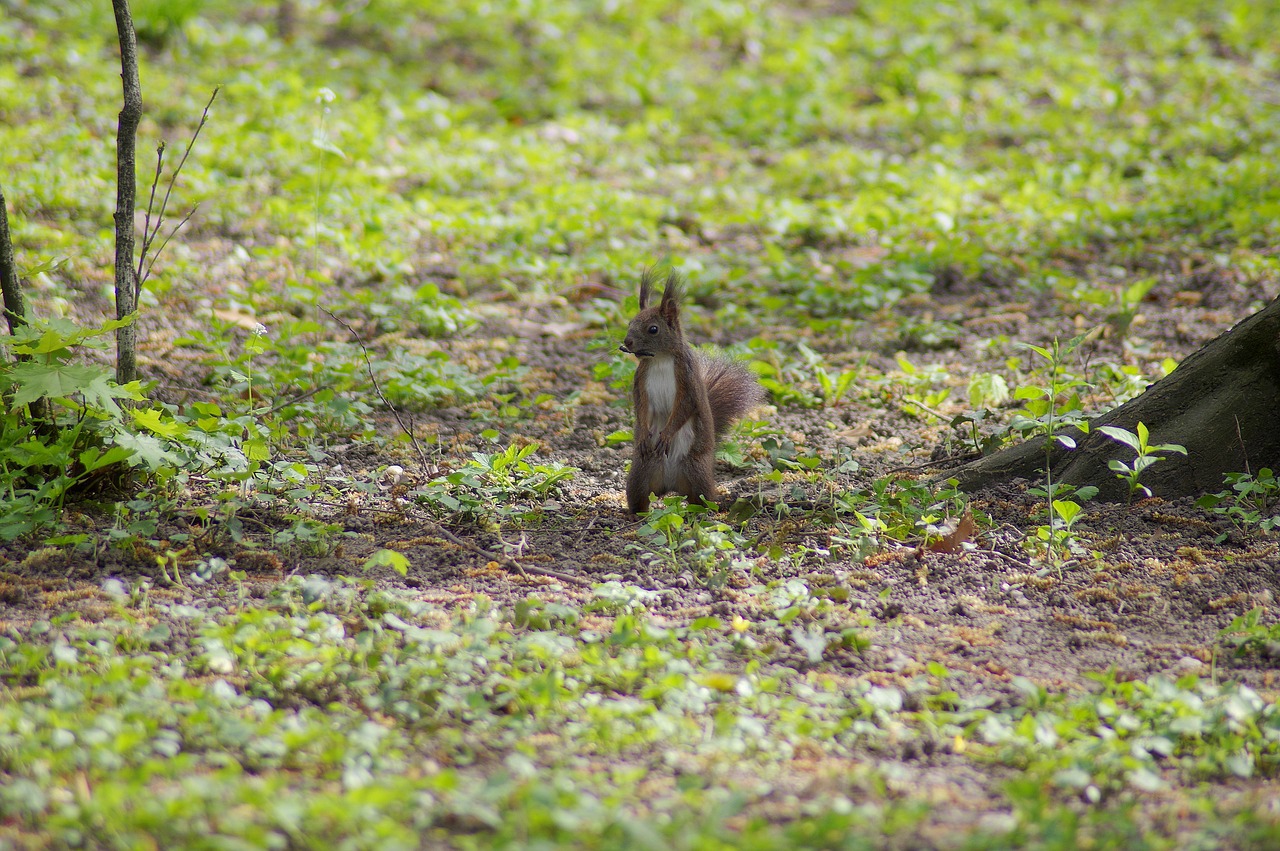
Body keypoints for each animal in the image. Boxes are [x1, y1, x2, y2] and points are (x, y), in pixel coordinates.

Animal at [616, 270, 757, 511]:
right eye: (630, 322)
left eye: (653, 329)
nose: (628, 341)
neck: (660, 359)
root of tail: (670, 486)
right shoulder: (640, 381)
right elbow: (641, 408)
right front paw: (643, 434)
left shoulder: (687, 379)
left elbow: (684, 408)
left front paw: (667, 435)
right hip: (640, 473)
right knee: (640, 499)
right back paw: (635, 514)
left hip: (697, 471)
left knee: (703, 499)